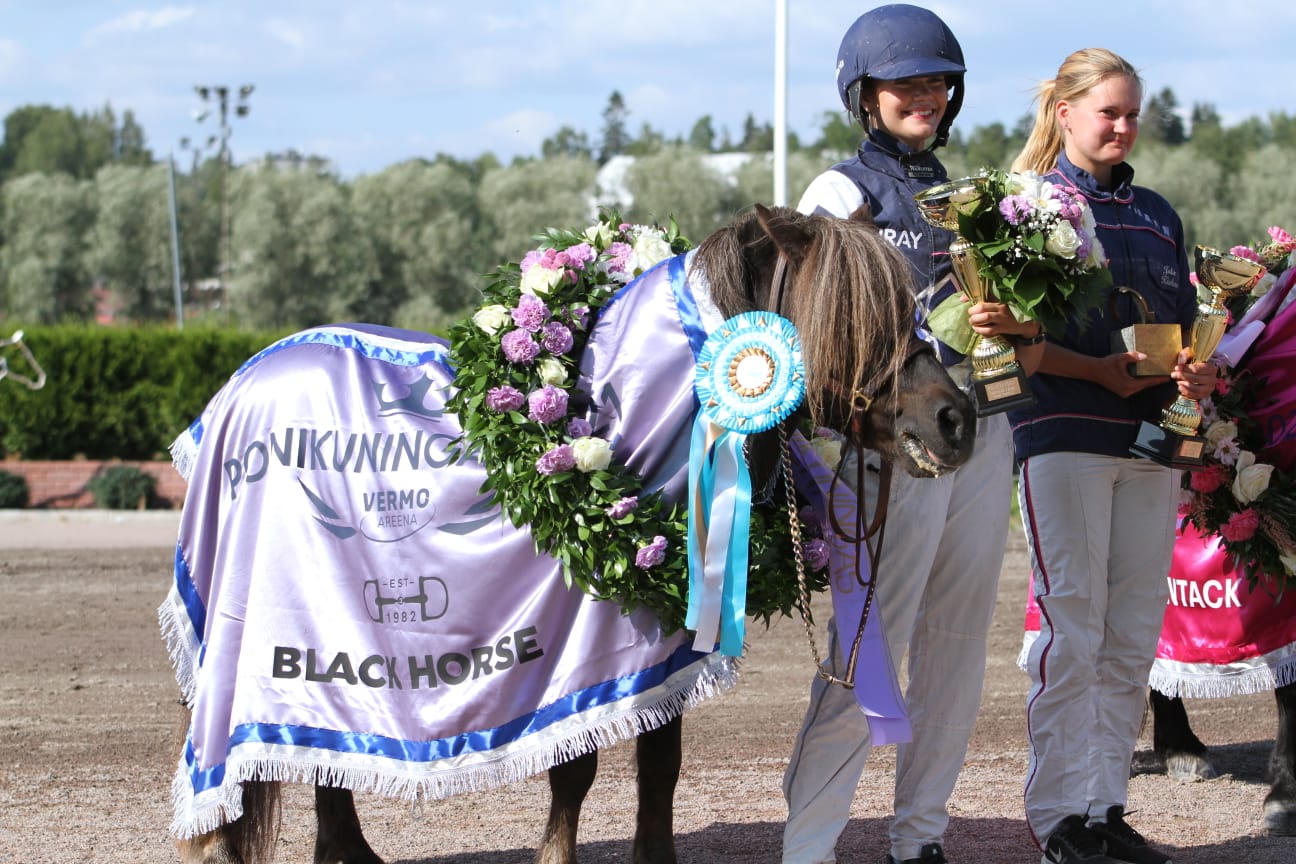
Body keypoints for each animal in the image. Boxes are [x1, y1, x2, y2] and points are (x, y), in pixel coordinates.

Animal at [164, 204, 974, 864]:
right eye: (854, 314)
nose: (956, 418)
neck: (613, 424)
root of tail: (241, 383)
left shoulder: (663, 639)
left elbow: (660, 765)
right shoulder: (574, 649)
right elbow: (574, 772)